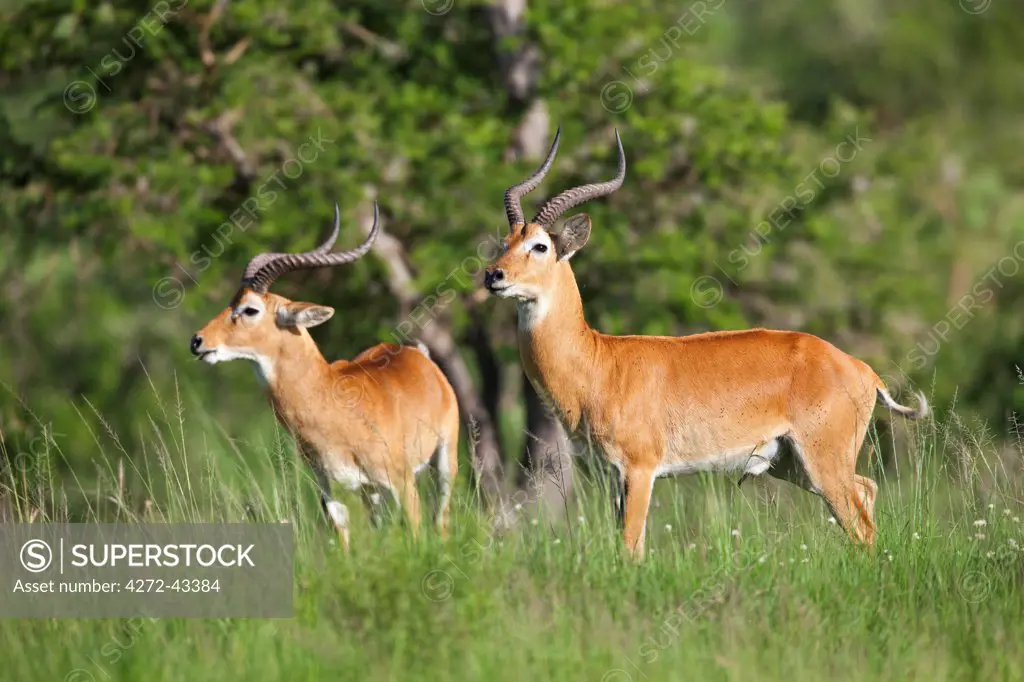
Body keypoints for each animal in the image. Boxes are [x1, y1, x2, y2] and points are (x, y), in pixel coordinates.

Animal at [191, 201, 460, 548]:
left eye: (250, 309)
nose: (198, 341)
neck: (331, 399)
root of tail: (419, 354)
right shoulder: (330, 488)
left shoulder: (401, 483)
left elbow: (416, 531)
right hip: (370, 494)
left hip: (444, 462)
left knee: (441, 521)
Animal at [485, 129, 929, 557]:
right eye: (504, 242)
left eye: (540, 245)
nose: (493, 275)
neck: (598, 361)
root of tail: (862, 369)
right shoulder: (613, 476)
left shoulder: (640, 470)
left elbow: (631, 548)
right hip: (793, 466)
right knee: (867, 491)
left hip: (822, 464)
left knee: (862, 527)